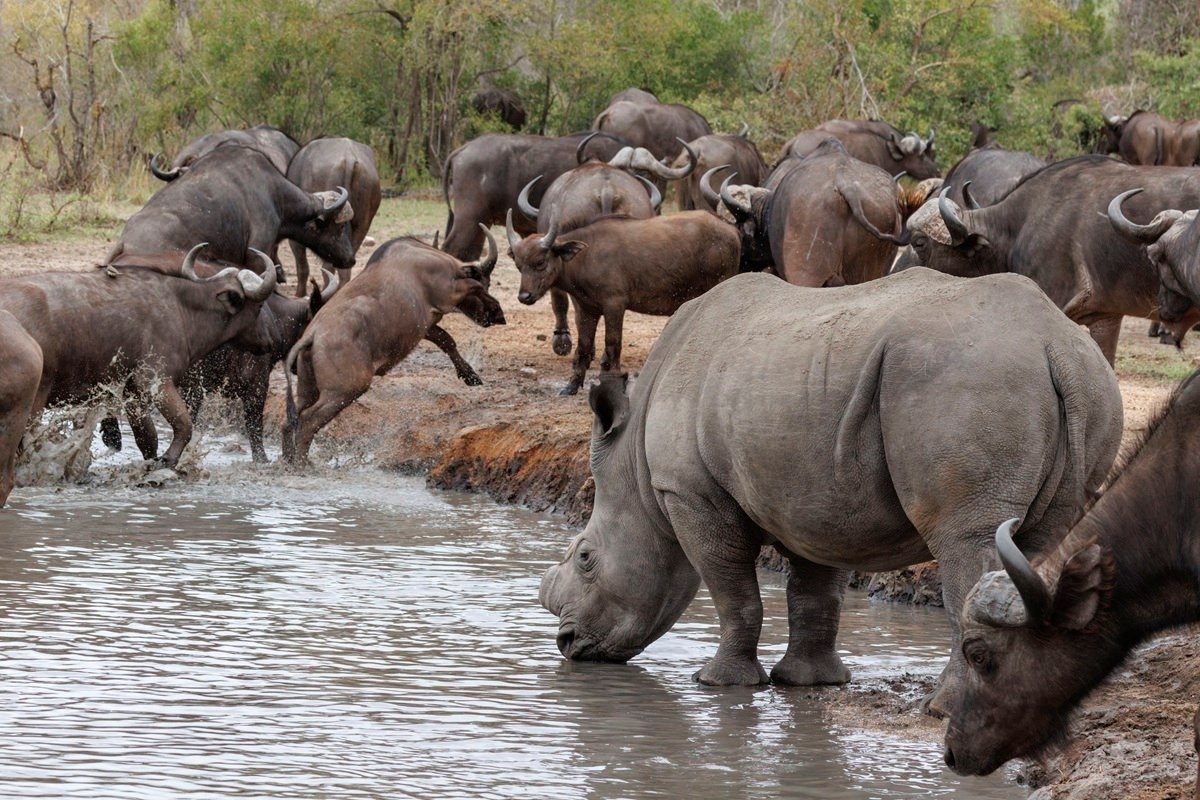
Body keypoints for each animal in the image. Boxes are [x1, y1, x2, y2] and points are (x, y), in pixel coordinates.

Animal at [283, 231, 505, 466]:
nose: (496, 315)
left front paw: (470, 375)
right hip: (345, 391)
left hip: (308, 391)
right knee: (308, 421)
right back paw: (302, 464)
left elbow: (447, 340)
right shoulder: (448, 294)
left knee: (289, 422)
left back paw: (288, 460)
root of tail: (312, 335)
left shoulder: (426, 327)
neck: (423, 258)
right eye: (487, 283)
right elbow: (470, 285)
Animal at [506, 208, 740, 396]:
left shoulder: (614, 304)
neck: (587, 255)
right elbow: (583, 347)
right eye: (519, 265)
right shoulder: (586, 309)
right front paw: (571, 386)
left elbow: (613, 344)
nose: (524, 296)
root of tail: (731, 230)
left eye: (540, 262)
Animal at [539, 268, 1120, 722]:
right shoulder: (820, 497)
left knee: (969, 539)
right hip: (1085, 387)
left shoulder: (688, 492)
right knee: (1035, 544)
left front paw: (717, 684)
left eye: (586, 559)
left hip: (971, 379)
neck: (636, 470)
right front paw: (810, 683)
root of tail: (1056, 347)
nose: (567, 646)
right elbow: (816, 593)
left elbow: (732, 590)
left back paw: (944, 710)